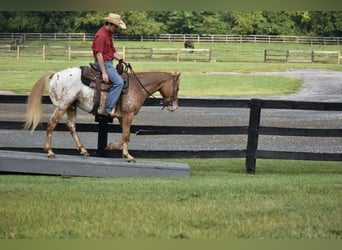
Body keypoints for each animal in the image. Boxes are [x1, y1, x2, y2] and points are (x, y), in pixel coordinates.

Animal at [24, 66, 180, 163]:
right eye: (177, 88)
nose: (175, 107)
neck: (137, 86)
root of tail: (55, 75)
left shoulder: (122, 116)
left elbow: (125, 135)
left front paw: (112, 147)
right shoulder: (128, 115)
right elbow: (126, 135)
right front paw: (127, 155)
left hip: (71, 107)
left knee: (71, 126)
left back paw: (83, 150)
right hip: (62, 106)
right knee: (51, 124)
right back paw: (50, 152)